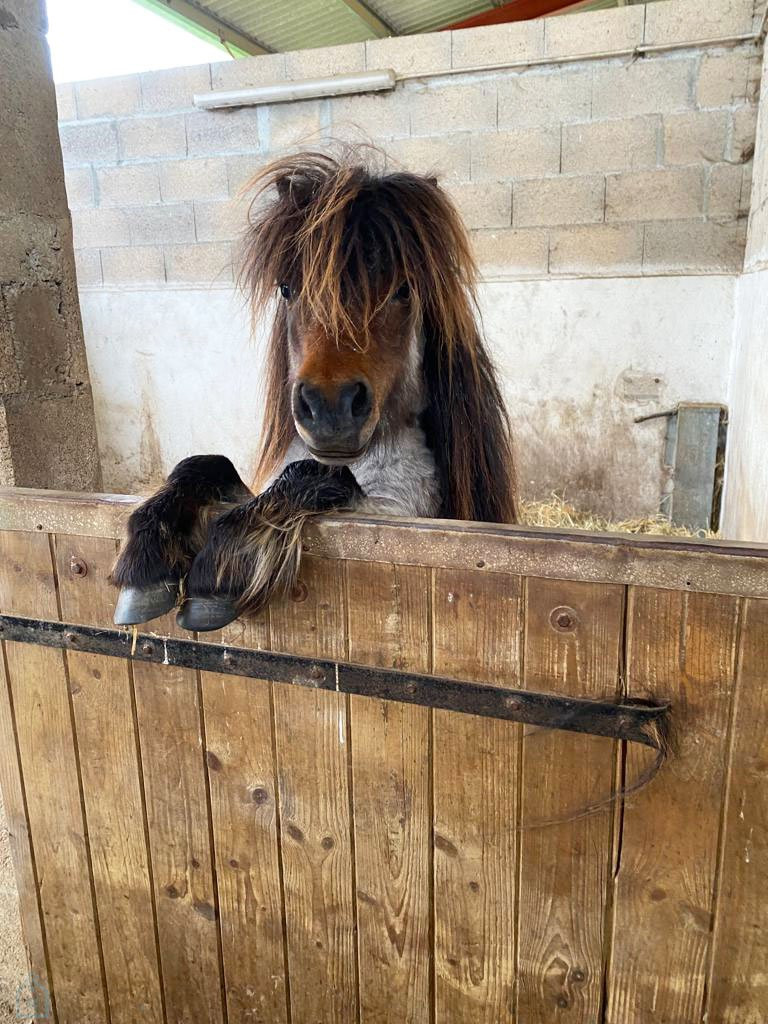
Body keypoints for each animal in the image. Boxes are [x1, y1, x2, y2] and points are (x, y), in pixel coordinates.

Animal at [111, 149, 520, 630]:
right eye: (287, 289)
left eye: (403, 290)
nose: (329, 409)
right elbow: (205, 465)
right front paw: (146, 560)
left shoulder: (394, 513)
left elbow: (312, 475)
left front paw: (222, 566)